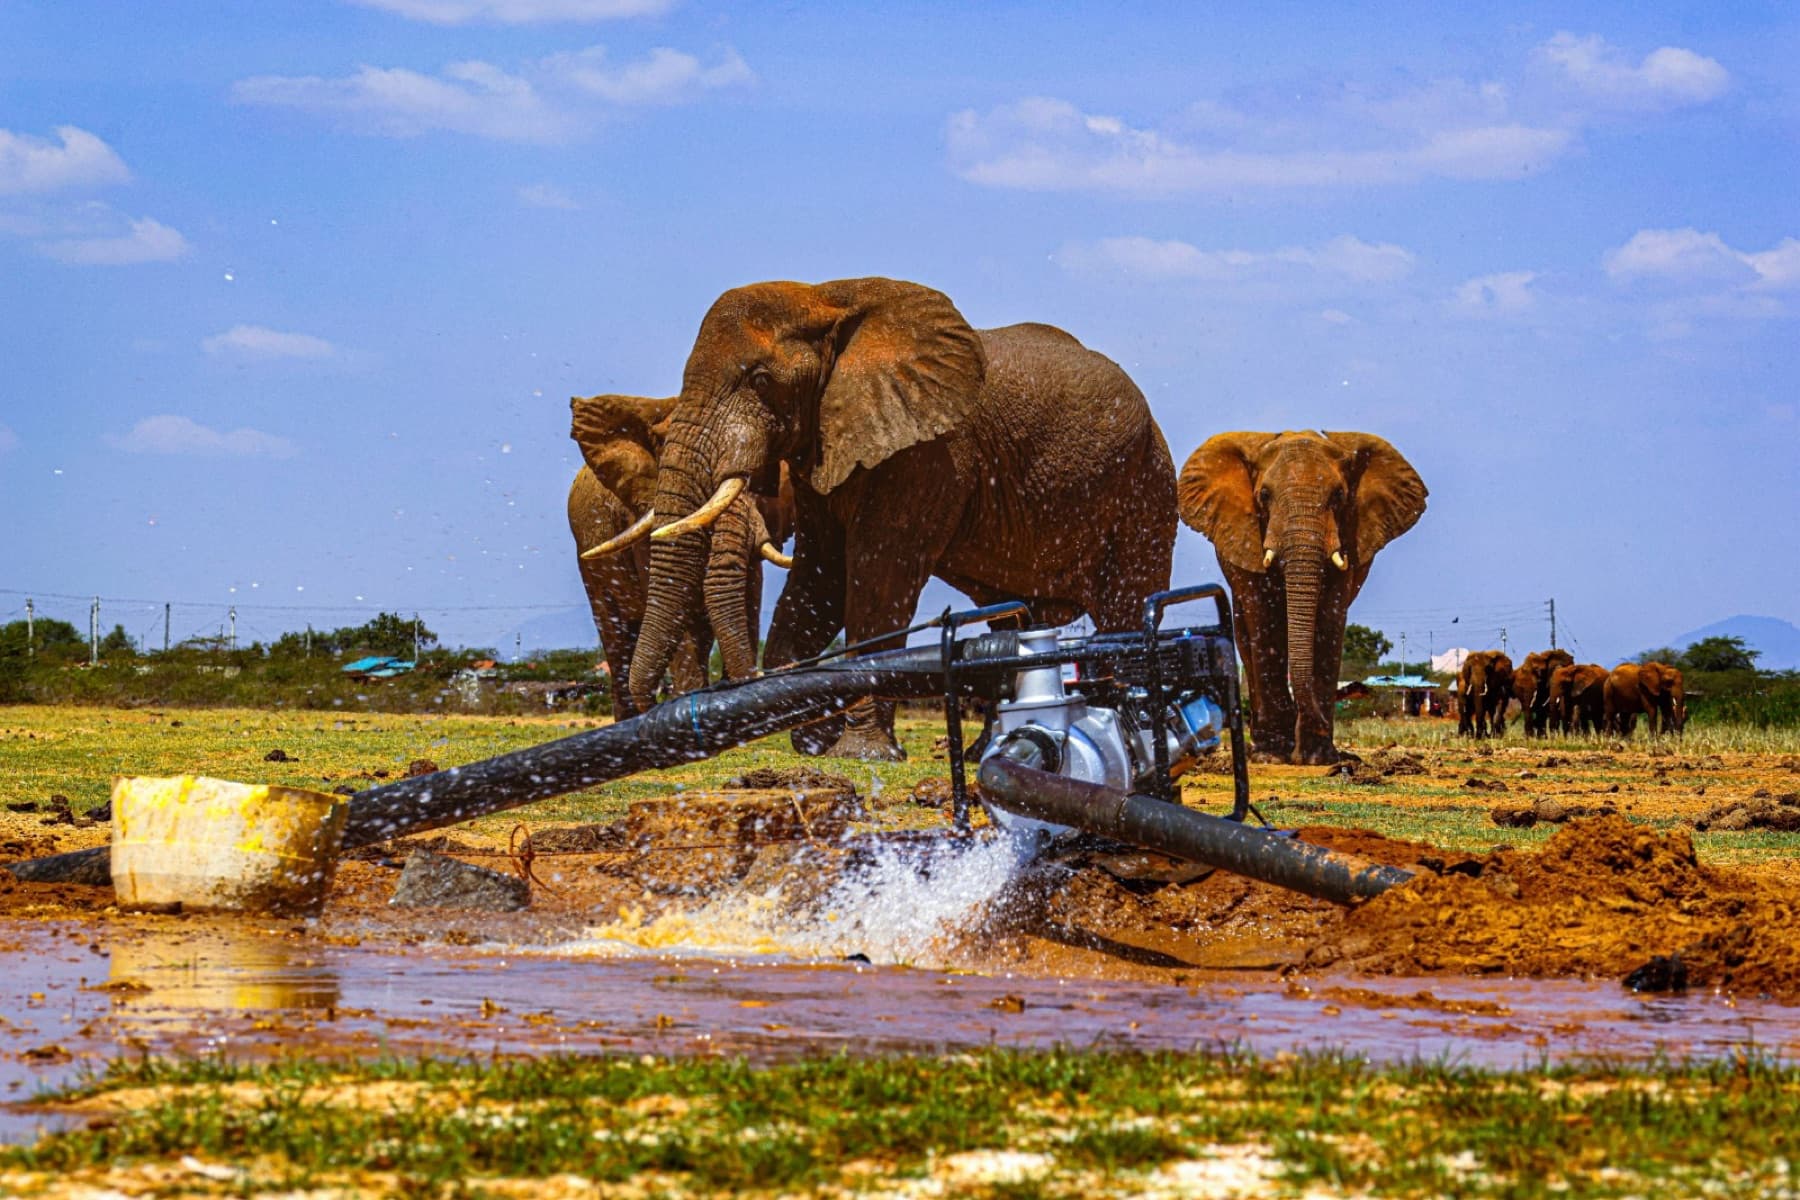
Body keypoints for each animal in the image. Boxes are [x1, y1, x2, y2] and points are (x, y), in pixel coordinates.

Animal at [599, 277, 1177, 760]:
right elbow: (821, 578)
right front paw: (813, 742)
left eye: (761, 380)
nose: (654, 705)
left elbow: (878, 578)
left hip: (1146, 489)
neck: (828, 298)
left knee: (1125, 608)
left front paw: (861, 754)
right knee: (1015, 618)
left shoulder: (929, 453)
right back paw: (983, 750)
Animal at [1179, 431, 1426, 764]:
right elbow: (1265, 622)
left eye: (1339, 496)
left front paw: (1316, 757)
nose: (1321, 717)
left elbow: (1329, 620)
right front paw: (1274, 756)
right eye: (1264, 495)